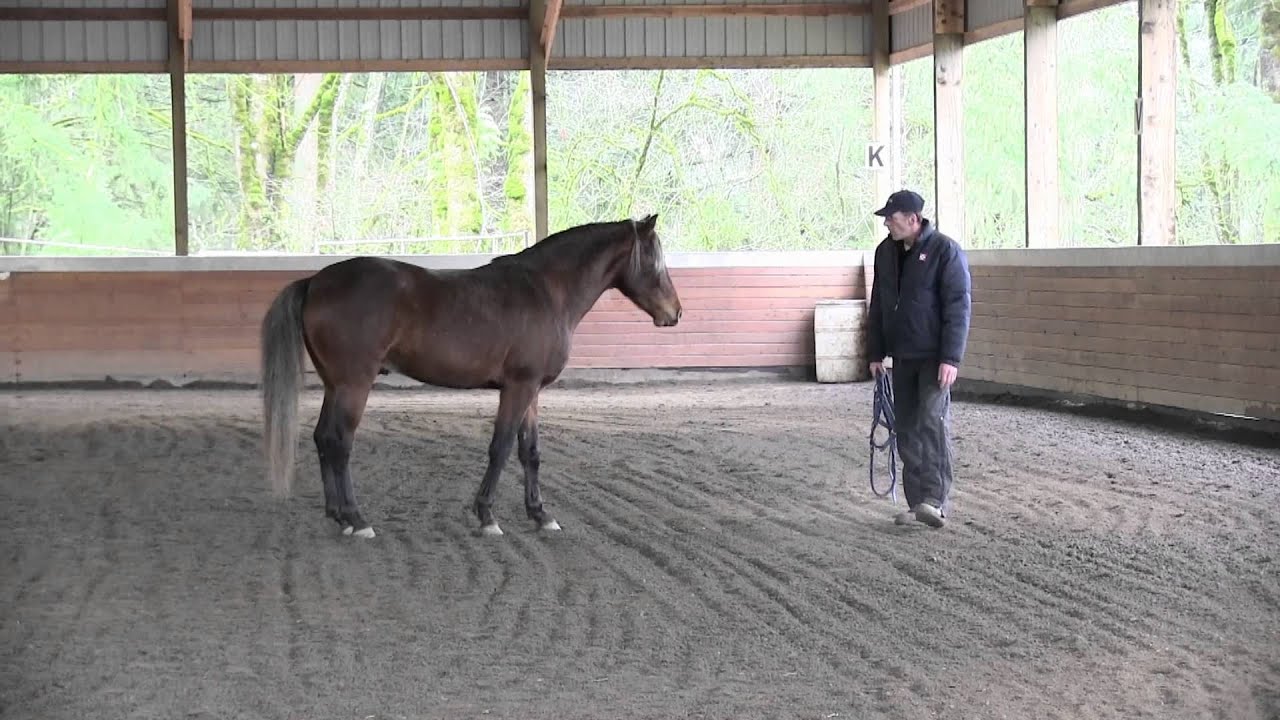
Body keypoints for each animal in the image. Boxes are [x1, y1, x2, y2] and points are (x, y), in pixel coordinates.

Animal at [258, 214, 682, 539]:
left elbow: (530, 452)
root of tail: (315, 281)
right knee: (340, 443)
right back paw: (357, 520)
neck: (547, 290)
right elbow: (501, 448)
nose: (675, 313)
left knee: (322, 439)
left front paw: (540, 515)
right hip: (354, 385)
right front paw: (487, 516)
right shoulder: (517, 387)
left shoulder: (531, 391)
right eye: (655, 261)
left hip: (335, 385)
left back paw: (337, 516)